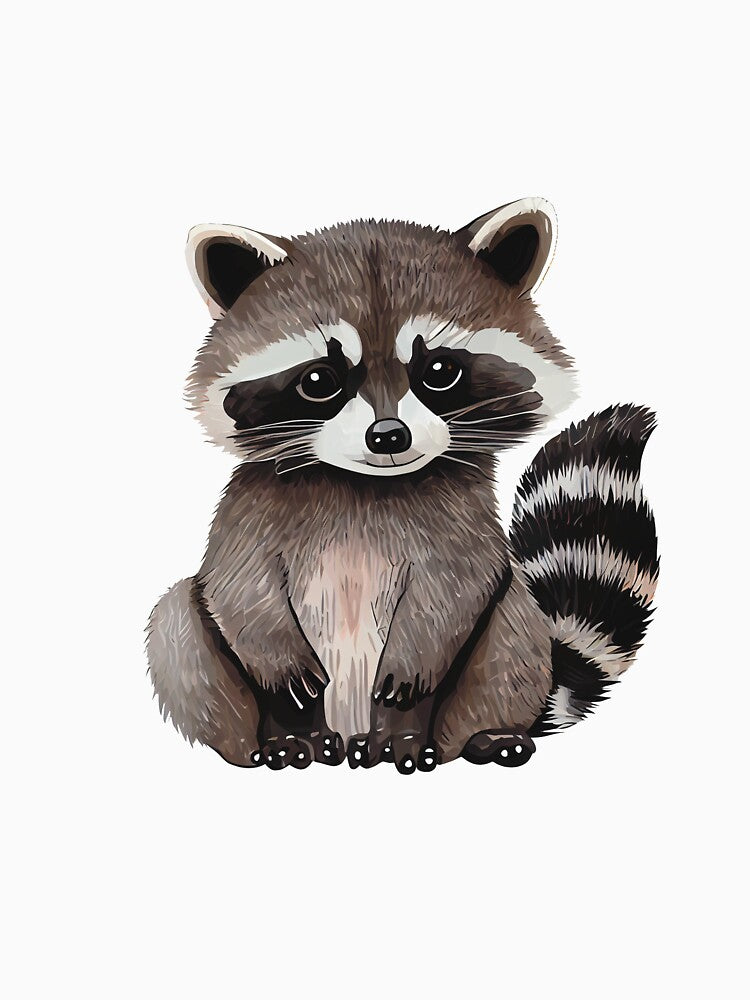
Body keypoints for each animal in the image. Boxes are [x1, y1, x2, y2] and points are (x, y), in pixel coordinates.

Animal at [146, 198, 658, 773]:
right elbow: (236, 587)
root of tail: (348, 733)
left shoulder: (462, 511)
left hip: (504, 659)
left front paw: (412, 674)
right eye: (319, 380)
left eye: (439, 369)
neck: (365, 483)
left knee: (512, 621)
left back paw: (461, 735)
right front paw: (278, 660)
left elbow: (457, 588)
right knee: (175, 619)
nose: (388, 435)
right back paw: (278, 742)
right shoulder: (248, 505)